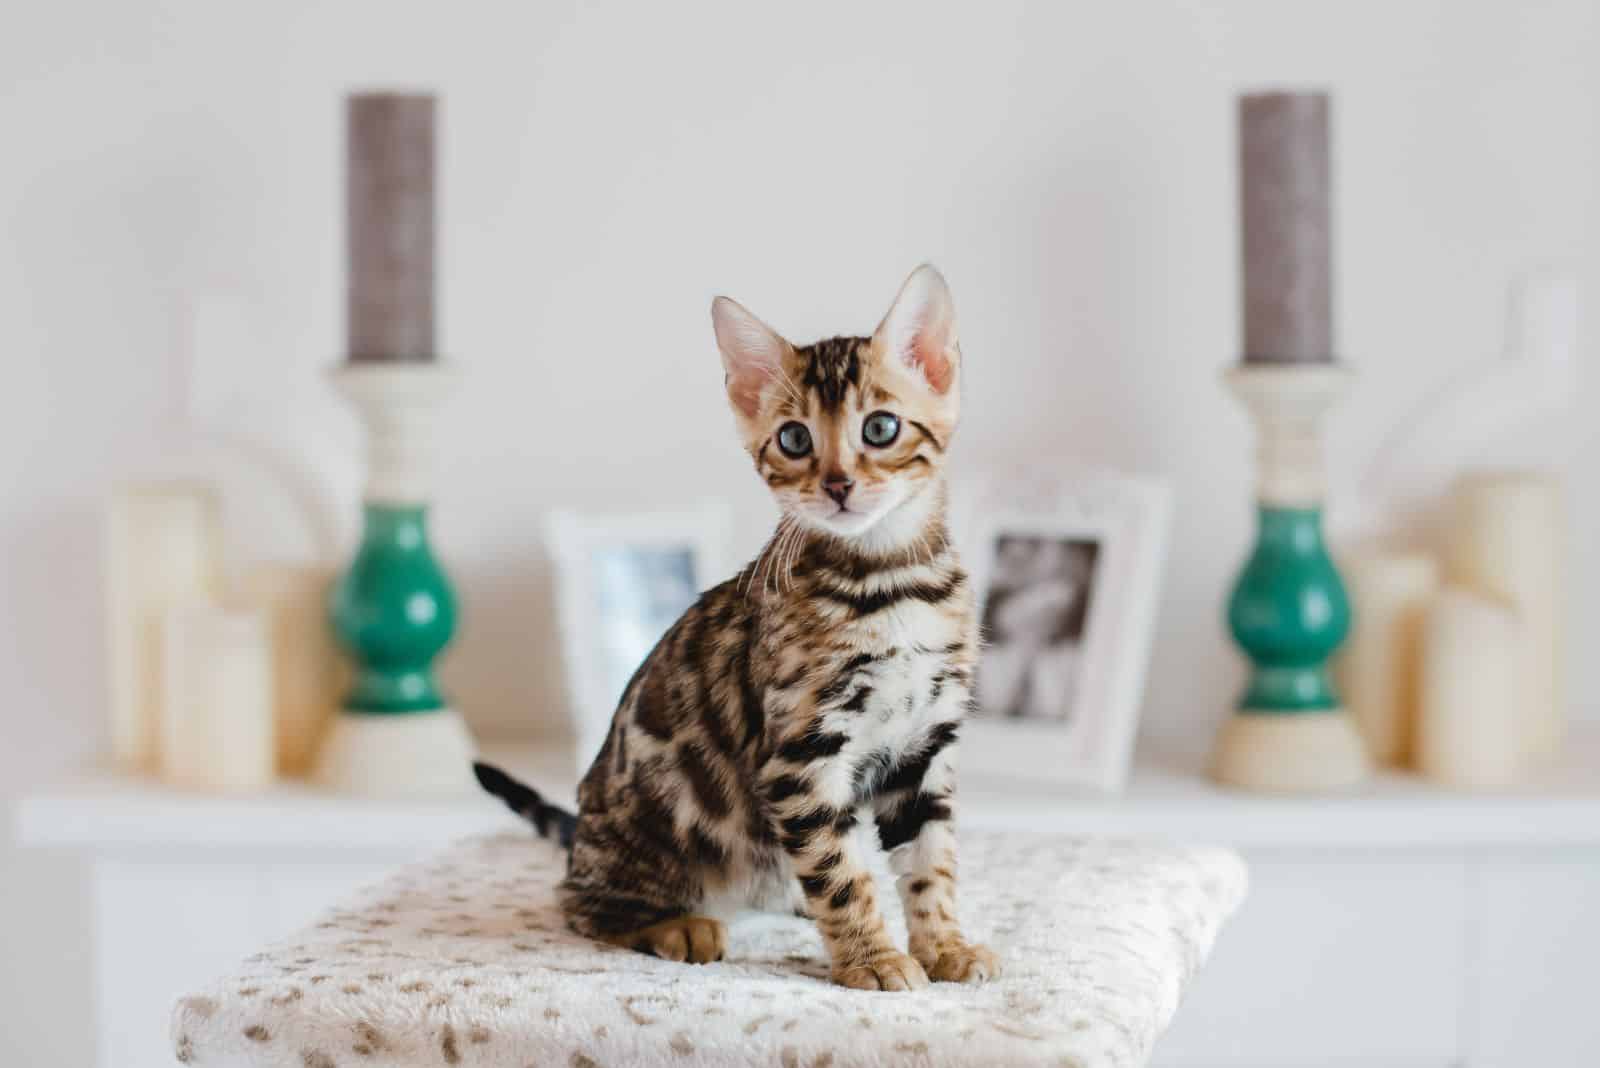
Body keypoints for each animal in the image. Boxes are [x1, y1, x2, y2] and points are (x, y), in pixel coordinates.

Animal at [476, 267, 998, 991]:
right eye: (795, 439)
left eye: (881, 427)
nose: (838, 485)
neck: (888, 582)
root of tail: (583, 834)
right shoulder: (800, 752)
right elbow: (839, 871)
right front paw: (871, 958)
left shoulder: (924, 745)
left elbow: (930, 863)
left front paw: (945, 944)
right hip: (656, 827)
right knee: (578, 903)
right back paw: (676, 924)